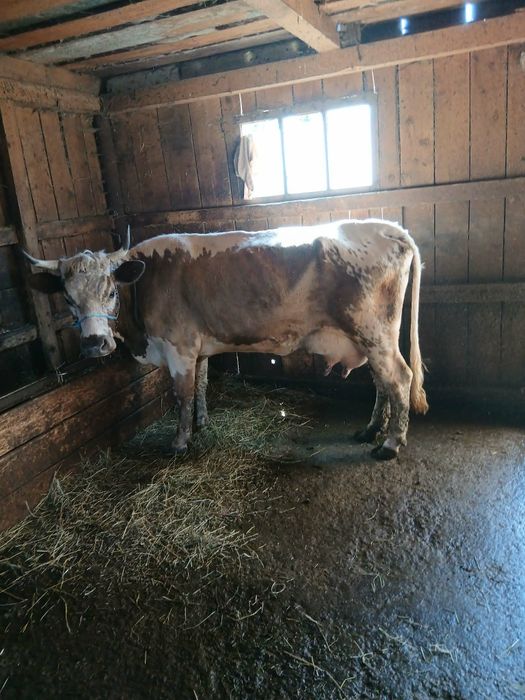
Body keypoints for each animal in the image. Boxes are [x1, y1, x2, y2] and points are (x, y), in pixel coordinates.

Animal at [25, 219, 428, 460]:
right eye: (67, 297)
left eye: (110, 291)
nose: (95, 344)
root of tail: (388, 227)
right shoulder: (199, 346)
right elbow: (201, 385)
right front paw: (202, 423)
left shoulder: (179, 346)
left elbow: (182, 393)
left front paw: (179, 441)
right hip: (370, 338)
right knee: (382, 383)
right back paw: (371, 430)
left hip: (374, 333)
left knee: (398, 379)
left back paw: (390, 444)